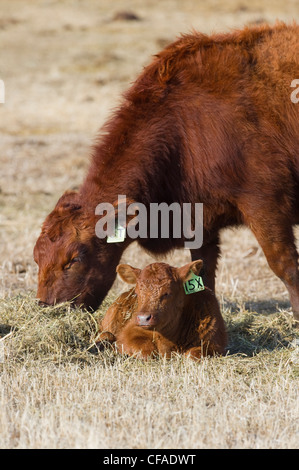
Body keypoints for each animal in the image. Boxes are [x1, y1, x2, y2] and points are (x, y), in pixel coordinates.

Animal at [34, 21, 299, 324]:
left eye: (75, 259)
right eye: (36, 257)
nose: (46, 307)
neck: (184, 126)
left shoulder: (265, 207)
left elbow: (284, 265)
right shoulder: (201, 222)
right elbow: (202, 273)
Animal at [97, 260, 229, 360]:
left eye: (167, 293)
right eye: (137, 293)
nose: (143, 318)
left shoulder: (215, 343)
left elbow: (193, 355)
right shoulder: (128, 333)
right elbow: (146, 351)